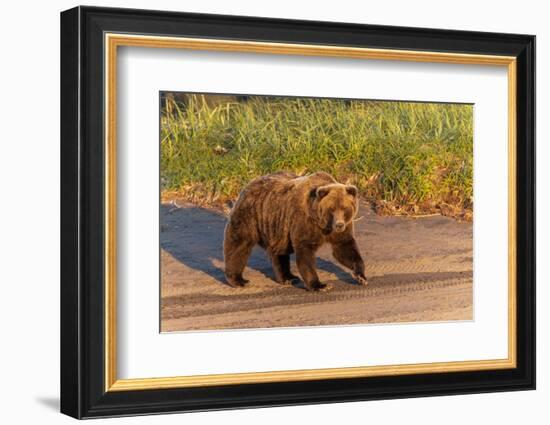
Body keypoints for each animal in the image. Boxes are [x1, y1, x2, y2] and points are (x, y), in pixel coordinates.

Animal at [222, 171, 368, 290]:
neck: (322, 224)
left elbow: (344, 248)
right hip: (251, 215)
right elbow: (305, 252)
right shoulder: (305, 221)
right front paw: (319, 285)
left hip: (278, 226)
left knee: (279, 250)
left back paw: (288, 277)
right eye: (331, 209)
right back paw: (238, 279)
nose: (339, 225)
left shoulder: (342, 229)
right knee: (239, 244)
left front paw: (361, 276)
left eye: (344, 208)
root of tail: (249, 184)